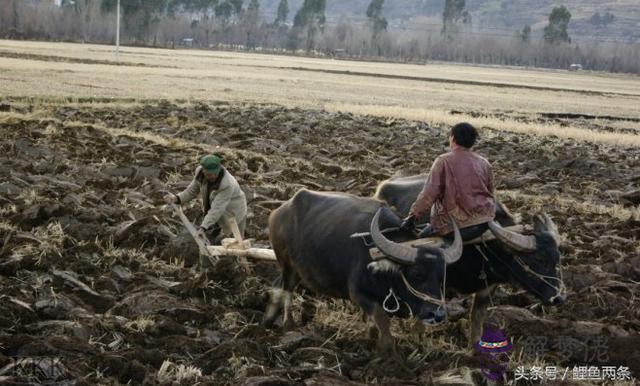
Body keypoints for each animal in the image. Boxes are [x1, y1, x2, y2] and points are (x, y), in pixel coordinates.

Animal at [262, 188, 462, 354]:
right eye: (417, 274)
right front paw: (385, 352)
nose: (437, 315)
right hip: (287, 264)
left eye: (441, 277)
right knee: (288, 290)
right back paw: (288, 324)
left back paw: (269, 318)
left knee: (278, 285)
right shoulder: (358, 294)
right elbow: (381, 318)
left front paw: (369, 340)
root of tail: (277, 213)